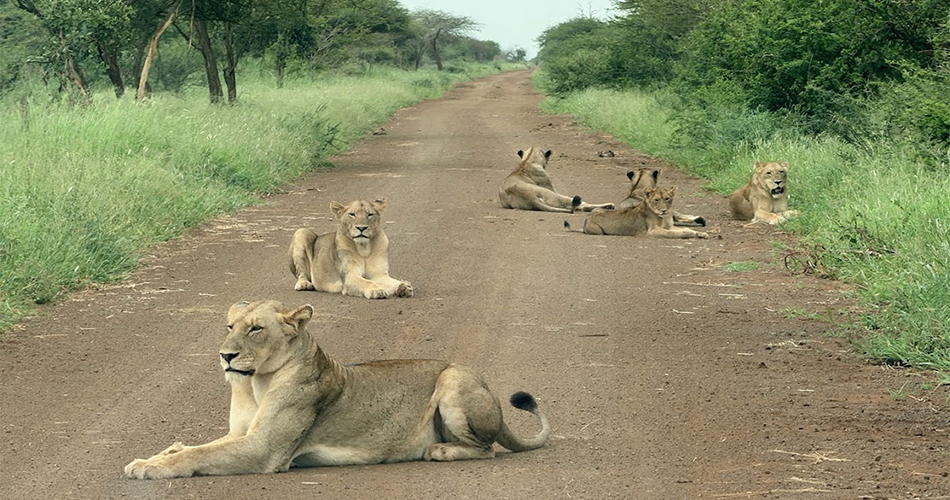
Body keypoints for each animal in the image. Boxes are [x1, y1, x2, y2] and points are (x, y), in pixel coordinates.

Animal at [125, 300, 550, 479]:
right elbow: (195, 446)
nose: (225, 355)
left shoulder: (263, 449)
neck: (255, 382)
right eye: (230, 327)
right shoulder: (239, 435)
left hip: (453, 377)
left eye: (256, 328)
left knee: (487, 449)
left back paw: (439, 450)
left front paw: (149, 467)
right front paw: (156, 455)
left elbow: (197, 454)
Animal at [576, 186, 708, 238]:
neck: (663, 217)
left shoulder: (669, 226)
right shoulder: (652, 231)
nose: (664, 210)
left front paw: (701, 233)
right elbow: (674, 233)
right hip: (598, 231)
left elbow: (686, 228)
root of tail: (587, 217)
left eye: (667, 198)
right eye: (656, 200)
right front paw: (688, 234)